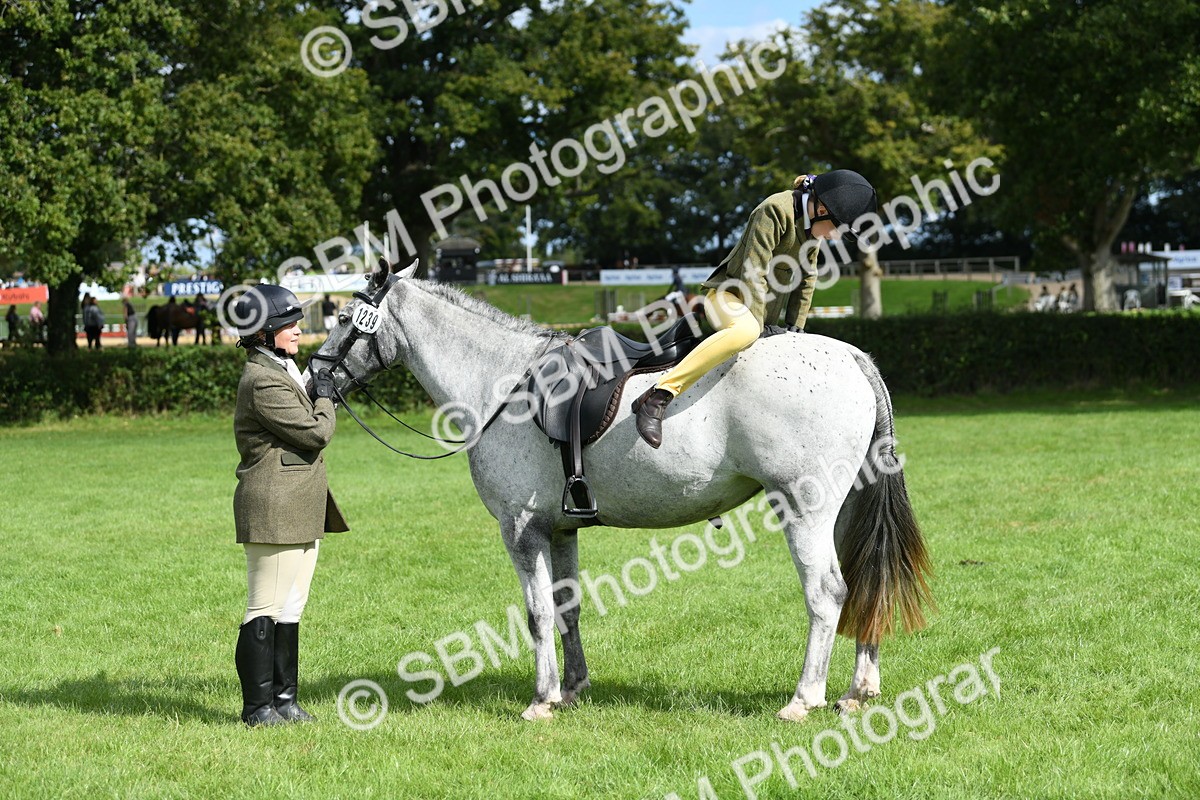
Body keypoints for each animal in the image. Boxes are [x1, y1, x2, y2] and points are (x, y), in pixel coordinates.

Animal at [312, 260, 933, 722]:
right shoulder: (560, 528)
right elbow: (567, 607)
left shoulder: (520, 529)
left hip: (804, 510)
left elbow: (537, 613)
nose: (314, 376)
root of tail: (851, 356)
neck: (503, 380)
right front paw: (573, 687)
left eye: (341, 315)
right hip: (844, 508)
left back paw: (805, 698)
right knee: (864, 584)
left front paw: (542, 699)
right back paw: (858, 688)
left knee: (827, 593)